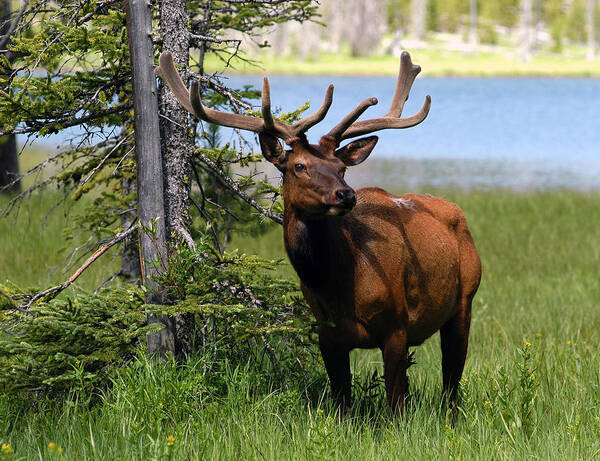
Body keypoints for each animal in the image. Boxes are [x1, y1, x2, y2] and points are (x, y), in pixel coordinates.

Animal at [156, 50, 482, 410]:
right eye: (299, 166)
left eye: (341, 167)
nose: (346, 195)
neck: (340, 284)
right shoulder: (327, 334)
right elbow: (343, 403)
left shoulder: (396, 326)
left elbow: (395, 405)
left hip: (465, 299)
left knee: (451, 383)